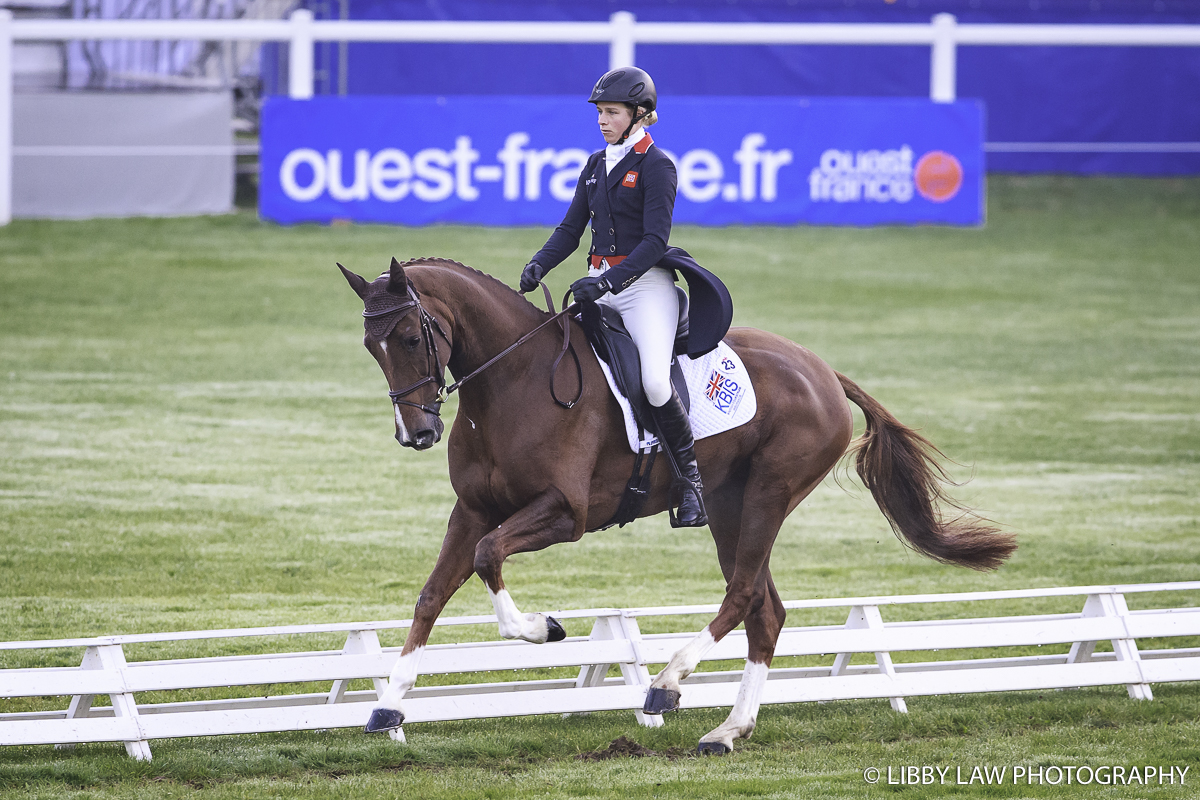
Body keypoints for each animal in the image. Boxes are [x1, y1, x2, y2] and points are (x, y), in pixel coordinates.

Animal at [336, 257, 1012, 758]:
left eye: (408, 337)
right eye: (370, 346)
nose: (417, 433)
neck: (510, 381)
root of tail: (821, 369)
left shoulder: (564, 513)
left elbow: (487, 557)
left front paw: (543, 628)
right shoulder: (473, 509)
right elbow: (433, 592)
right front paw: (389, 704)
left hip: (767, 494)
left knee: (743, 594)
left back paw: (667, 684)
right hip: (730, 504)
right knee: (766, 611)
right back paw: (728, 730)